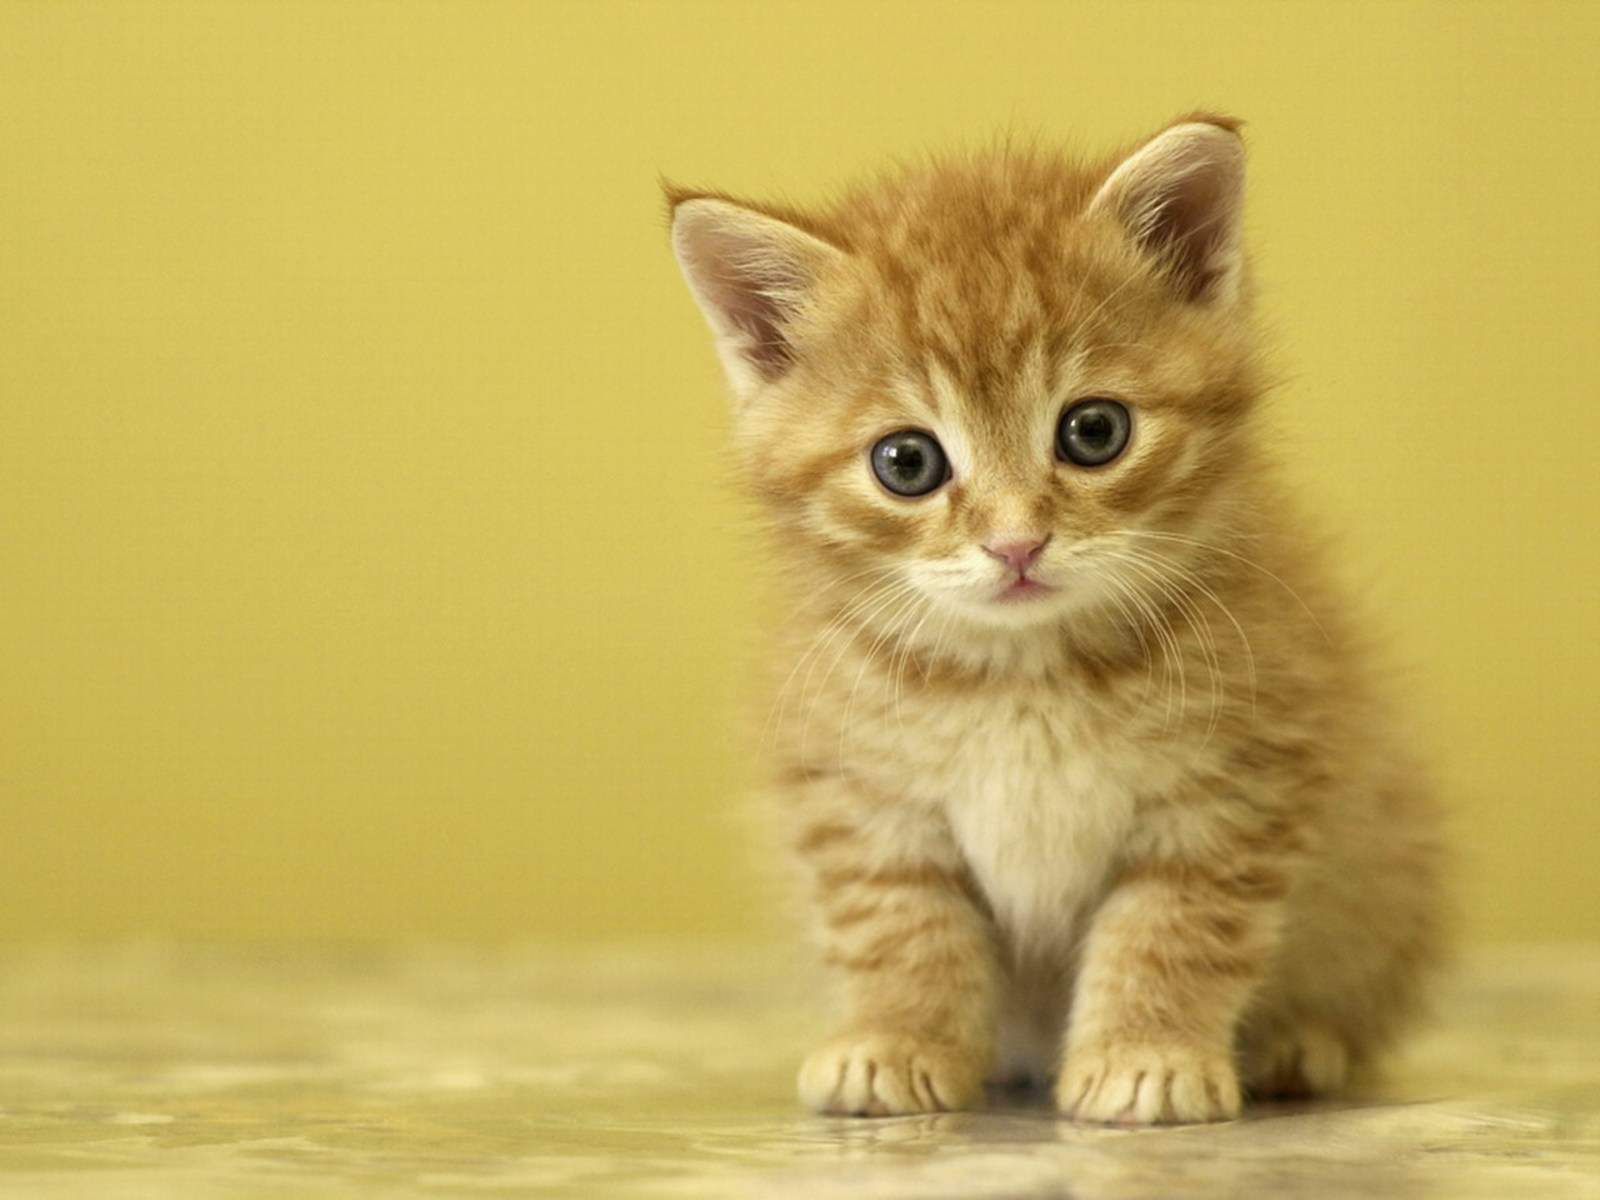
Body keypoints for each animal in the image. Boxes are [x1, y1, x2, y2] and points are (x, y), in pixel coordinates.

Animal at [668, 115, 1446, 1126]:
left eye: (1094, 431)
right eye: (906, 462)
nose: (1016, 545)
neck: (1024, 673)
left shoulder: (1234, 787)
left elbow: (1172, 926)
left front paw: (1146, 1053)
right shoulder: (861, 799)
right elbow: (899, 924)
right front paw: (897, 1038)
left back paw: (1297, 1042)